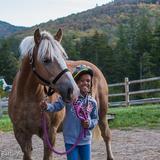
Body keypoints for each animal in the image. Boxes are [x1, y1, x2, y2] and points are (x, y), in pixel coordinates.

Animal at [8, 28, 114, 160]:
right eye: (46, 60)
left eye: (64, 57)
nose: (73, 90)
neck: (27, 99)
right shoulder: (21, 135)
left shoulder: (50, 133)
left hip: (102, 114)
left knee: (106, 135)